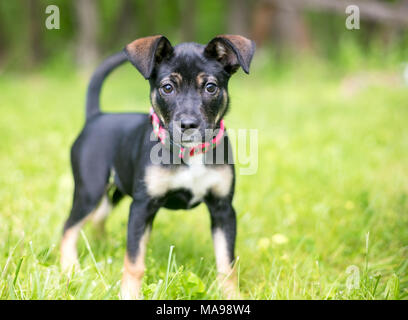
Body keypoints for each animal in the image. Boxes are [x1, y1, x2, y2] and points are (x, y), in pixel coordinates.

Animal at [60, 33, 255, 298]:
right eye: (167, 88)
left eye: (211, 87)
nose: (188, 124)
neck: (190, 154)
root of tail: (96, 117)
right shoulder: (142, 207)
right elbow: (134, 261)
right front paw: (129, 294)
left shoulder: (223, 208)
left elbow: (226, 263)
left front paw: (231, 295)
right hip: (90, 190)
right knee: (69, 228)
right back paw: (70, 270)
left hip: (117, 190)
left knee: (99, 216)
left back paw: (102, 245)